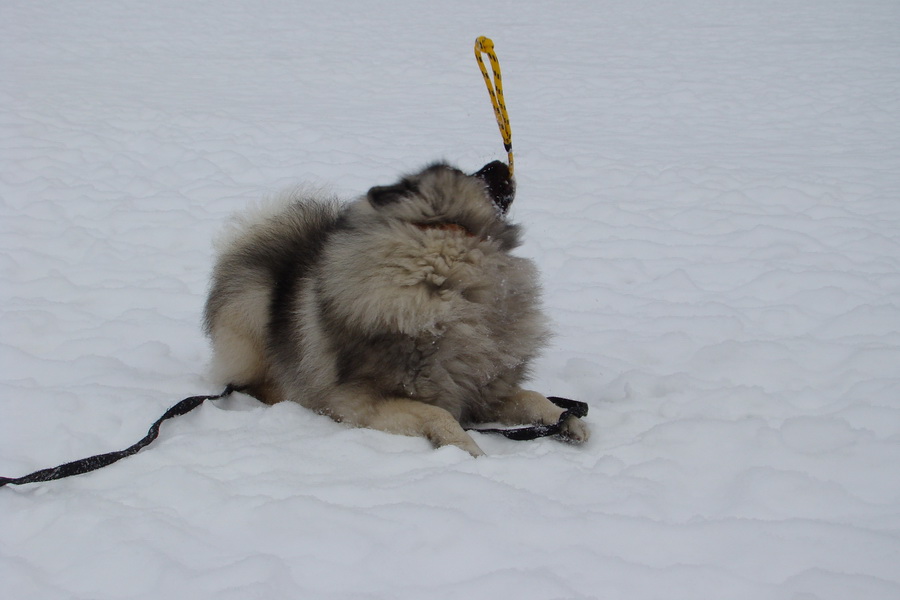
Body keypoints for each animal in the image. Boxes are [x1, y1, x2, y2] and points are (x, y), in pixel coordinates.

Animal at [202, 162, 592, 458]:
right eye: (469, 172)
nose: (500, 162)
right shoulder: (359, 402)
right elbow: (438, 413)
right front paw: (466, 447)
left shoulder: (478, 389)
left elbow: (531, 396)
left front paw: (565, 418)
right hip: (252, 311)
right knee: (252, 383)